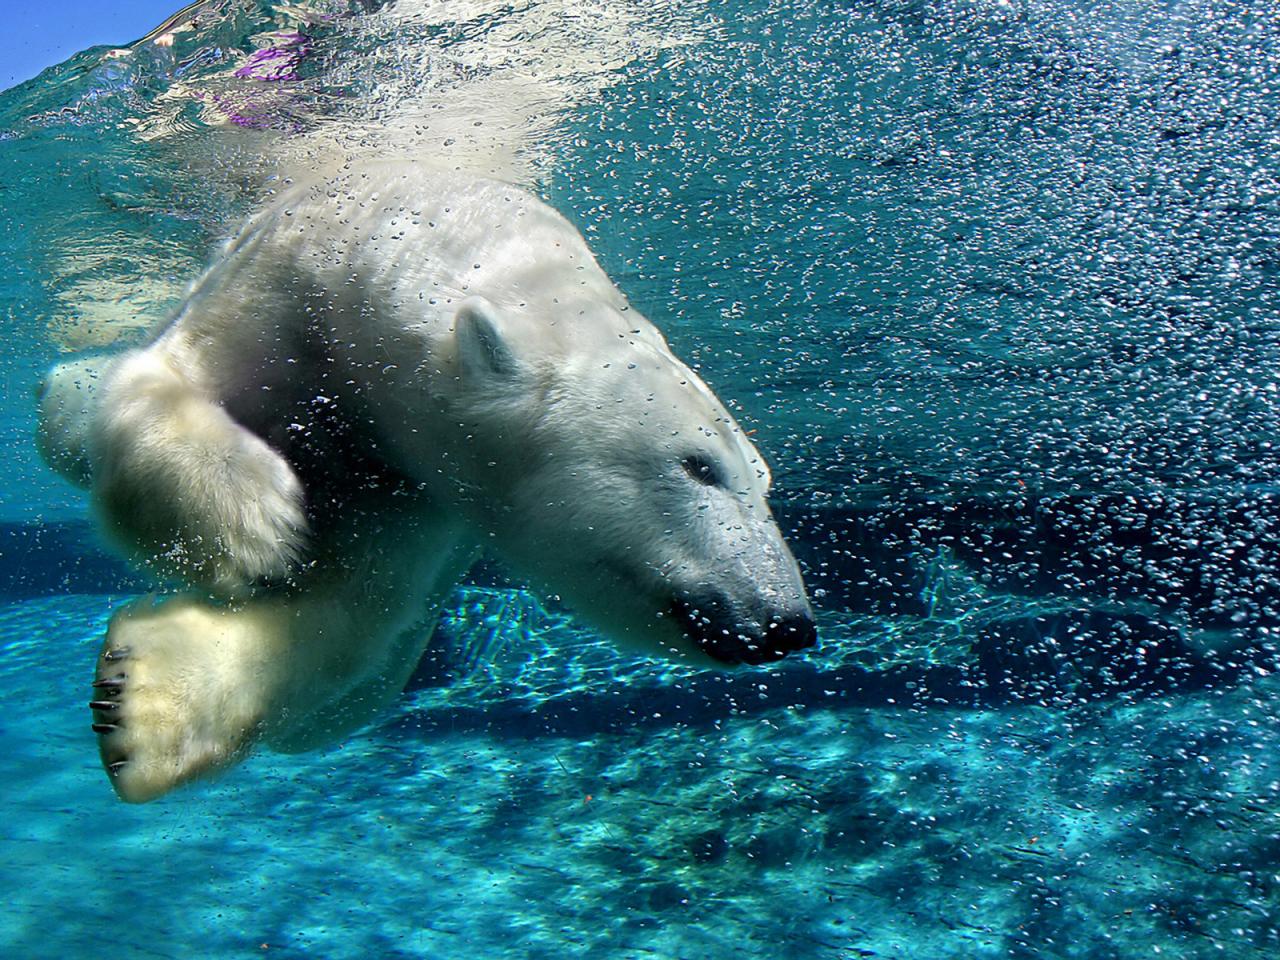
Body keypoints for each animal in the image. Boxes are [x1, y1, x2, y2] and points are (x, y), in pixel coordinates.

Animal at [42, 165, 819, 803]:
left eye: (764, 483)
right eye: (698, 465)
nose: (787, 624)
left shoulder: (424, 491)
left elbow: (352, 609)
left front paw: (139, 702)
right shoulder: (281, 287)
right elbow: (164, 381)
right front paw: (254, 523)